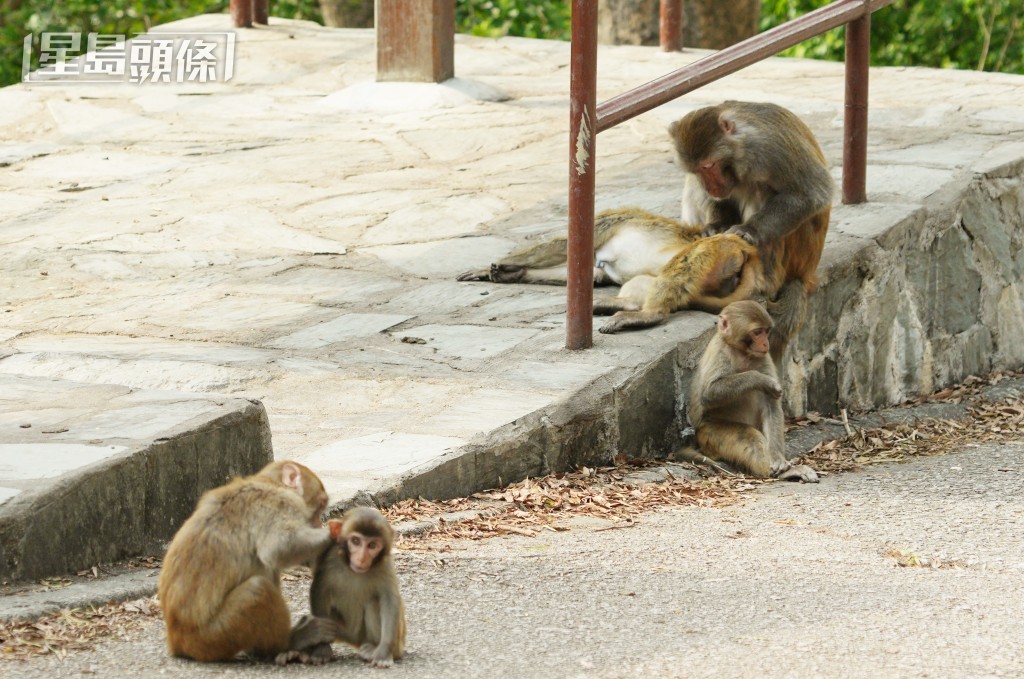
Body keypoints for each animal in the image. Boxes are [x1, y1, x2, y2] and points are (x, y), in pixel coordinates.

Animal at [155, 458, 339, 659]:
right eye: (320, 507)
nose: (319, 523)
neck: (269, 482)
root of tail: (177, 638)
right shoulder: (280, 502)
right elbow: (278, 547)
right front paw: (334, 532)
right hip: (214, 635)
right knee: (257, 589)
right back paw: (287, 642)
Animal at [301, 507, 405, 667]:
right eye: (356, 541)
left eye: (372, 545)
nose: (361, 558)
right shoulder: (330, 558)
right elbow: (319, 591)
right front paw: (322, 648)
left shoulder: (384, 564)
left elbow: (389, 598)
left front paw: (383, 652)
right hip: (345, 632)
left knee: (374, 602)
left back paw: (373, 648)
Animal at [671, 100, 831, 360]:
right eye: (697, 170)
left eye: (709, 165)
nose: (710, 186)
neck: (741, 145)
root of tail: (806, 274)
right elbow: (720, 198)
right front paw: (714, 227)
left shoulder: (769, 147)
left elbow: (812, 193)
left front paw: (749, 231)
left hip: (796, 255)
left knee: (762, 187)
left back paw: (765, 281)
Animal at [684, 301, 819, 483]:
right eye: (757, 332)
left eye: (766, 331)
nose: (766, 343)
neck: (741, 352)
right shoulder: (719, 352)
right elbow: (708, 394)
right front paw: (761, 380)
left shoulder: (763, 357)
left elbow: (772, 406)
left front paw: (778, 459)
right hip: (709, 433)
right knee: (749, 438)